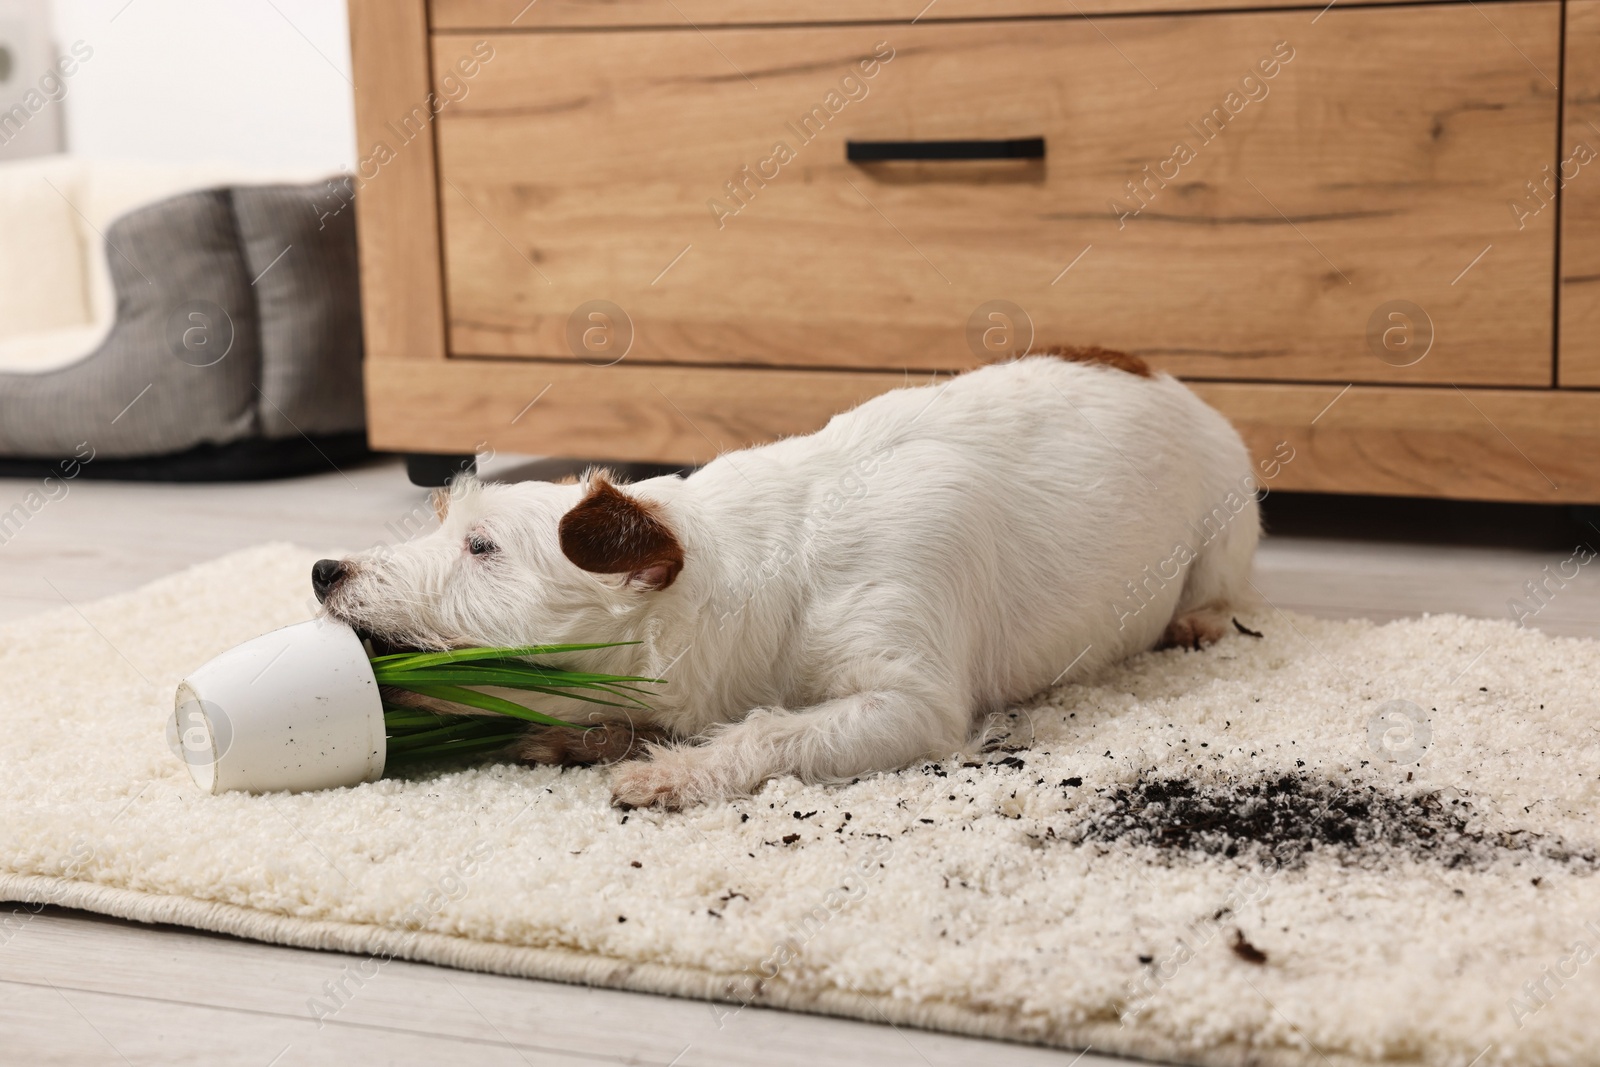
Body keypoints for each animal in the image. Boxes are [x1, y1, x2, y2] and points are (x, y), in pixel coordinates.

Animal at [312, 350, 1260, 809]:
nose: (323, 567)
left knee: (1222, 585)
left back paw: (1201, 622)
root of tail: (1153, 368)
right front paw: (588, 738)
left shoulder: (911, 701)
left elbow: (773, 730)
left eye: (481, 546)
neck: (762, 581)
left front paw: (672, 772)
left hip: (1228, 517)